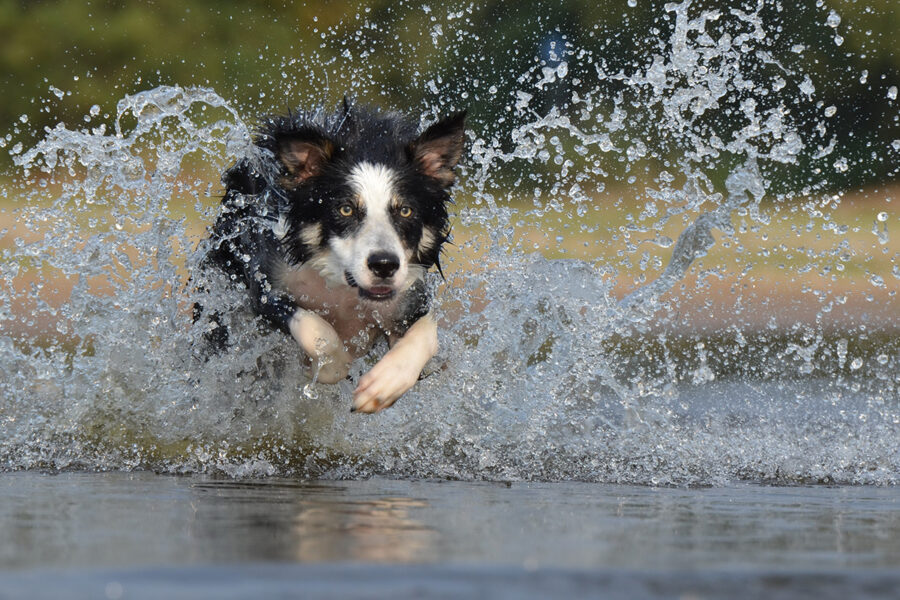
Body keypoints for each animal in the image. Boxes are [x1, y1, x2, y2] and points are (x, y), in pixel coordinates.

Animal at [197, 101, 464, 414]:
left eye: (405, 211)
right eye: (345, 209)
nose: (384, 265)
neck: (342, 287)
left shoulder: (408, 297)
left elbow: (427, 333)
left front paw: (385, 384)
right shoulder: (265, 285)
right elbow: (315, 328)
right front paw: (331, 366)